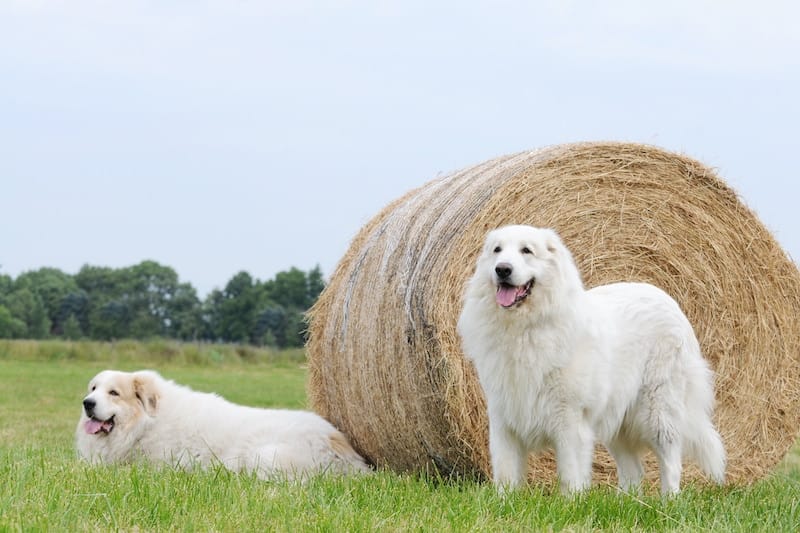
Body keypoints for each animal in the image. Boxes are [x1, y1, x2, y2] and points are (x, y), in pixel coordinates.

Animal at [75, 370, 368, 478]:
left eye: (114, 393)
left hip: (265, 457)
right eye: (93, 388)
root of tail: (337, 441)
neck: (146, 424)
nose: (87, 403)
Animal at [456, 224, 724, 494]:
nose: (502, 269)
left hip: (658, 411)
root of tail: (668, 300)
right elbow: (505, 474)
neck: (525, 328)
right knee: (633, 472)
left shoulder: (569, 419)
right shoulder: (503, 418)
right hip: (618, 421)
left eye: (526, 251)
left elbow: (569, 474)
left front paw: (571, 501)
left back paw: (669, 499)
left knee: (671, 463)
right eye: (497, 250)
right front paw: (505, 500)